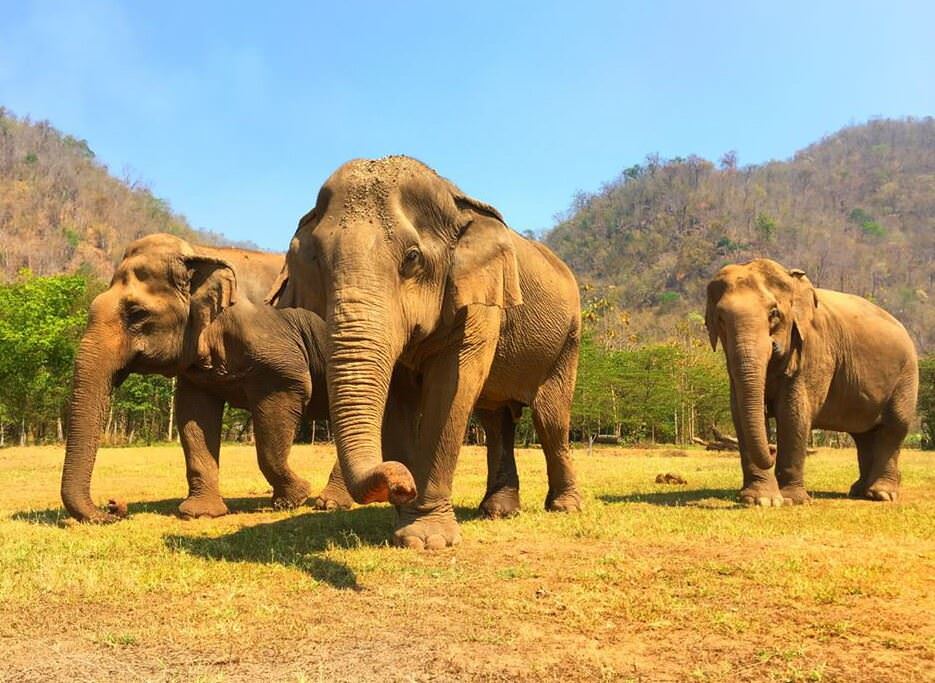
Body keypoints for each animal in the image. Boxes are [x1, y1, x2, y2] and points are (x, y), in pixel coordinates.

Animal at [59, 235, 336, 524]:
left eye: (136, 313)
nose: (114, 506)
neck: (201, 252)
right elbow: (194, 412)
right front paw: (200, 513)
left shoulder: (276, 352)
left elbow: (281, 403)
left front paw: (294, 498)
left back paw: (330, 503)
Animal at [266, 156, 580, 552]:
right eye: (318, 260)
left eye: (412, 258)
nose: (402, 484)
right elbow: (397, 398)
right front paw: (405, 525)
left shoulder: (478, 301)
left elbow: (450, 390)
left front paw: (426, 538)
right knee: (496, 419)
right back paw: (497, 511)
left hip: (568, 340)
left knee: (550, 418)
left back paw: (564, 507)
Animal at [704, 260, 916, 504]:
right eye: (720, 318)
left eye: (774, 313)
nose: (771, 450)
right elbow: (739, 411)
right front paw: (760, 500)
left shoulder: (816, 349)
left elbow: (793, 412)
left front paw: (791, 500)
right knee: (864, 434)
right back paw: (859, 491)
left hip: (906, 375)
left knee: (893, 427)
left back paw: (881, 494)